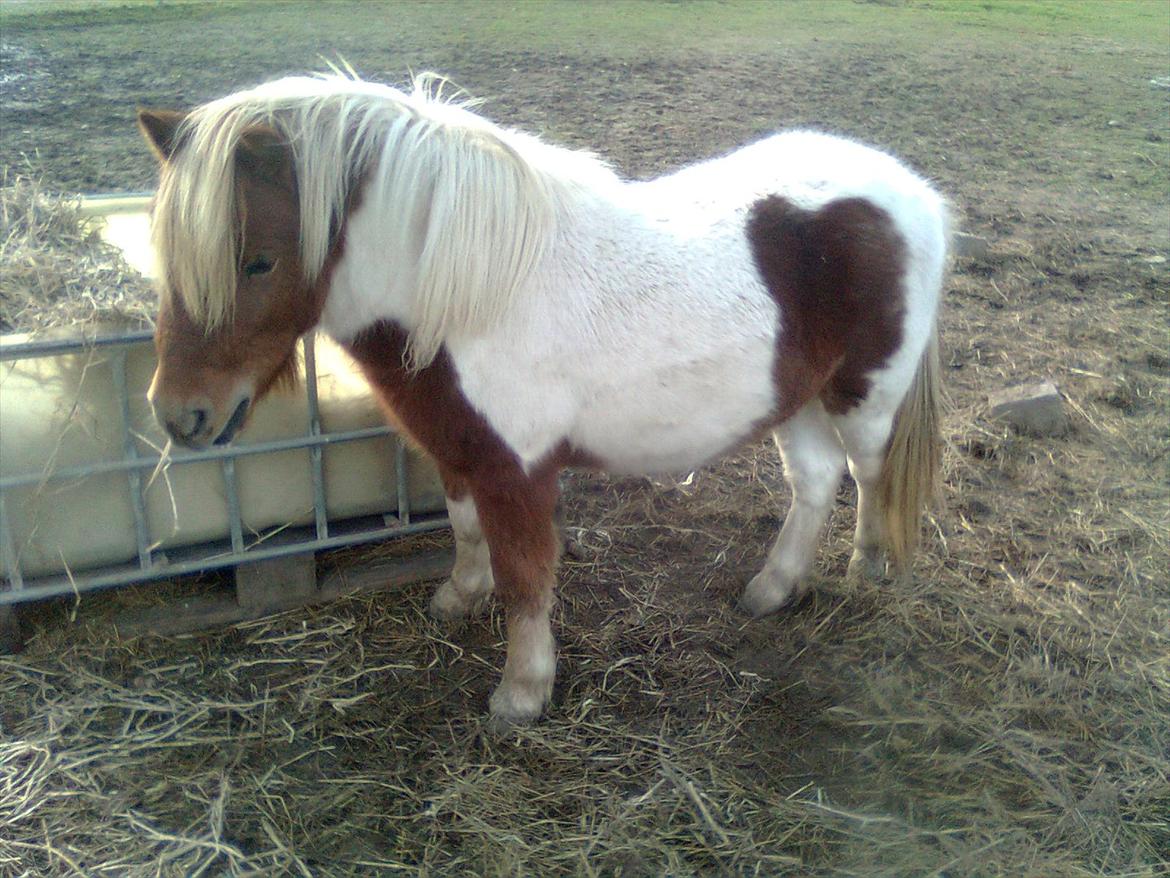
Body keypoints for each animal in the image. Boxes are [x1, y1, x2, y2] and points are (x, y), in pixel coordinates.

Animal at [136, 72, 945, 725]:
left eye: (259, 263)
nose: (182, 415)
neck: (468, 292)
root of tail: (915, 193)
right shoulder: (457, 448)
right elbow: (466, 533)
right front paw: (458, 601)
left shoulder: (517, 471)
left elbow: (526, 580)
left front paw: (522, 693)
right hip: (797, 395)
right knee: (816, 480)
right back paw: (772, 589)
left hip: (865, 396)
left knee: (870, 476)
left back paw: (869, 570)